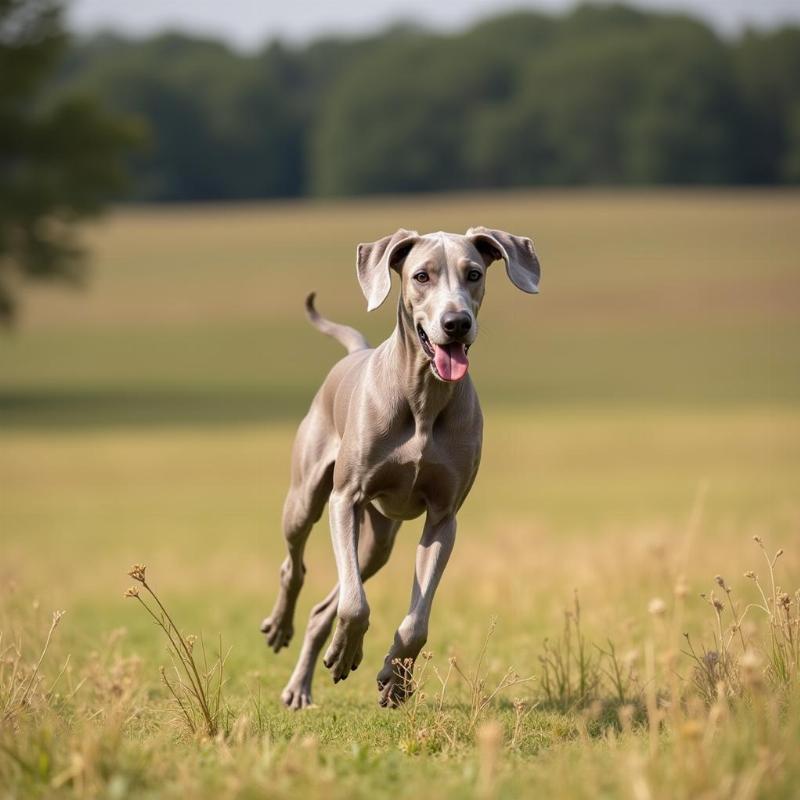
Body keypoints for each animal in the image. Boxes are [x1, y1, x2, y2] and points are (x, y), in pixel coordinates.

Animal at [260, 225, 536, 708]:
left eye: (474, 273)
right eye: (421, 276)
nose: (456, 322)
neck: (423, 396)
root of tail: (356, 351)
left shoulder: (444, 517)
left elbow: (416, 620)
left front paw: (396, 676)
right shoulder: (346, 499)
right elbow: (356, 604)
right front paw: (349, 651)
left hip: (378, 541)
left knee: (327, 603)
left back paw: (307, 676)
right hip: (306, 498)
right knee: (295, 565)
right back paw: (283, 632)